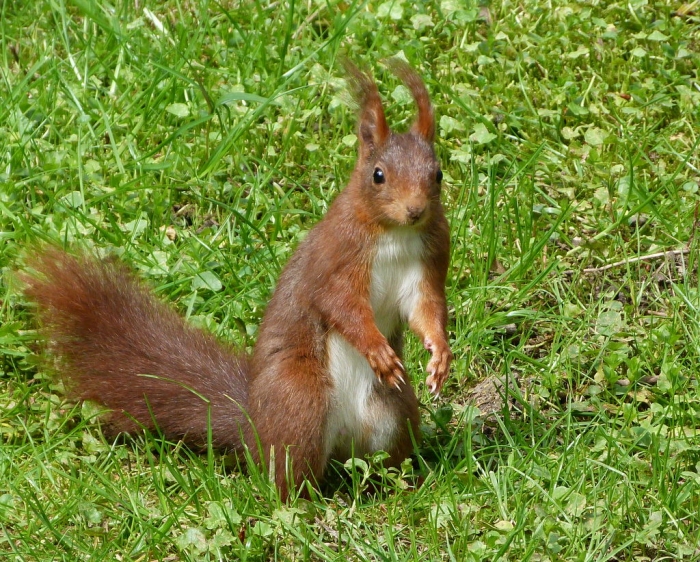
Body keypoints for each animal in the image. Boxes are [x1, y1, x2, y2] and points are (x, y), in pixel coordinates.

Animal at [22, 59, 452, 500]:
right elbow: (341, 305)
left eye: (437, 174)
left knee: (385, 458)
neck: (394, 234)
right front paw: (377, 349)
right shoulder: (335, 259)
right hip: (301, 400)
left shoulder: (428, 261)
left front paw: (439, 355)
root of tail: (254, 430)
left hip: (394, 412)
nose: (415, 211)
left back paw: (408, 484)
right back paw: (306, 505)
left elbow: (426, 308)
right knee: (289, 475)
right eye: (378, 175)